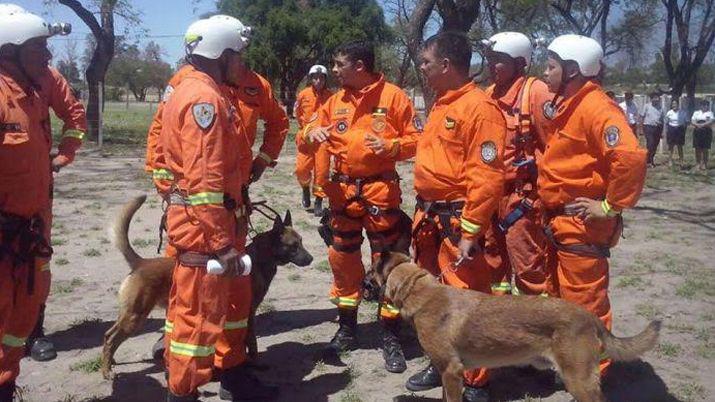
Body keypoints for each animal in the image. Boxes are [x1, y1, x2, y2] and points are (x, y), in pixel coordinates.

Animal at [103, 195, 314, 380]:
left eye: (302, 241)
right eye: (293, 246)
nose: (311, 258)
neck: (259, 259)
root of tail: (141, 263)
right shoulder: (248, 314)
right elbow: (252, 342)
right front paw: (254, 363)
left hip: (130, 315)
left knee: (108, 335)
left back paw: (110, 362)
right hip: (135, 317)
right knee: (111, 339)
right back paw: (106, 371)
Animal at [366, 253, 664, 400]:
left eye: (369, 272)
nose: (363, 284)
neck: (421, 293)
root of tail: (589, 316)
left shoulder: (451, 371)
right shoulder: (448, 373)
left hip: (578, 380)